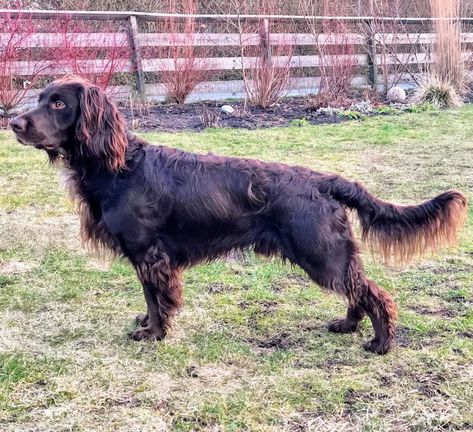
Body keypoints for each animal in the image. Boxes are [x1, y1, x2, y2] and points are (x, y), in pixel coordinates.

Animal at [9, 77, 466, 354]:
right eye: (39, 99)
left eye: (58, 103)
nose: (12, 122)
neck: (117, 166)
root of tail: (324, 181)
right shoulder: (144, 257)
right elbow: (148, 297)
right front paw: (147, 323)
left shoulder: (149, 254)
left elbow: (157, 300)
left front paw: (153, 333)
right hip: (329, 253)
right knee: (357, 289)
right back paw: (347, 325)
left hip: (321, 252)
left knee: (374, 293)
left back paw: (381, 343)